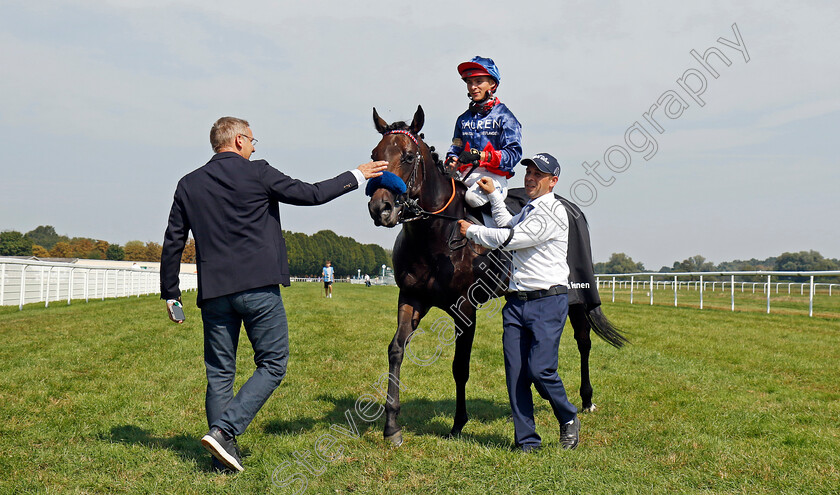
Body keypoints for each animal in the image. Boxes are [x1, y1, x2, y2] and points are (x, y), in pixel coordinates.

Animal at [364, 106, 628, 448]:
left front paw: (458, 424)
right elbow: (396, 350)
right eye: (375, 155)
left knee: (583, 341)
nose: (380, 207)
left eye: (408, 156)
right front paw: (392, 426)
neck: (436, 234)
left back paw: (586, 399)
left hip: (576, 295)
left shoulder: (464, 308)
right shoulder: (411, 297)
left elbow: (460, 366)